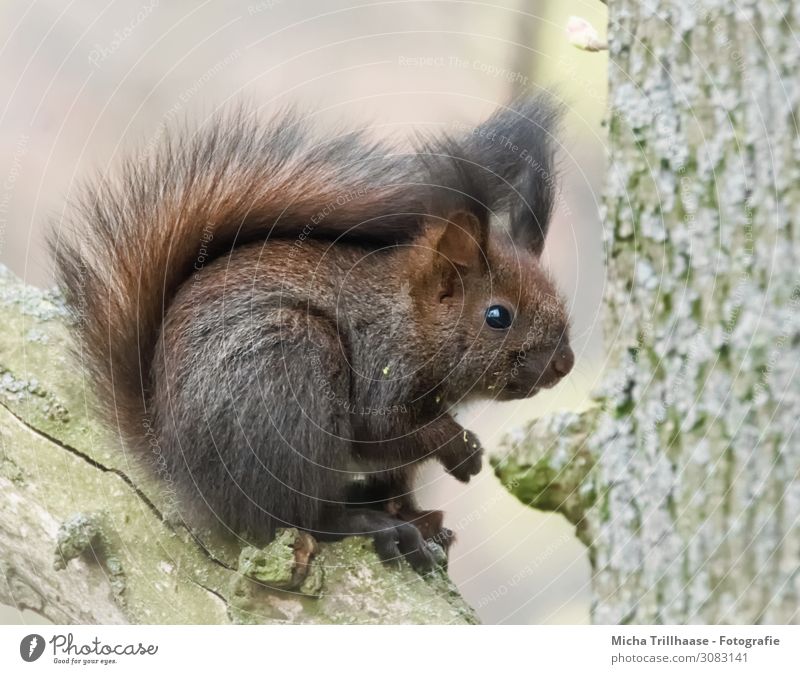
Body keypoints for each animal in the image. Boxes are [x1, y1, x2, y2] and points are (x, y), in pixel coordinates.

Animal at [50, 92, 572, 568]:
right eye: (497, 316)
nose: (563, 365)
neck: (410, 317)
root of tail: (180, 471)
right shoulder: (382, 366)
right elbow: (384, 431)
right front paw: (461, 448)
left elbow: (399, 475)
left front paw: (418, 510)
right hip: (288, 380)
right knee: (295, 517)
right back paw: (366, 524)